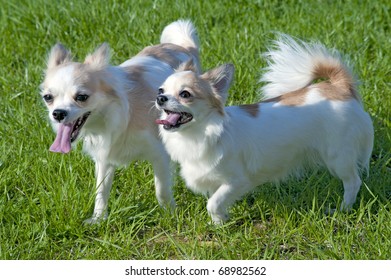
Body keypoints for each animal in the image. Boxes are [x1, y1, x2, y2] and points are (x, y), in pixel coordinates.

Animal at [41, 20, 201, 223]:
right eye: (48, 97)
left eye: (82, 97)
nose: (58, 113)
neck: (108, 119)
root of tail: (183, 47)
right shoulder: (103, 156)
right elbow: (101, 190)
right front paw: (99, 219)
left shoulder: (160, 153)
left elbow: (161, 188)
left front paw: (169, 215)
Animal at [155, 35, 374, 223]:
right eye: (161, 90)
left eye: (185, 94)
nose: (160, 98)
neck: (198, 134)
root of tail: (338, 87)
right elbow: (216, 200)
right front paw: (220, 222)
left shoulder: (238, 181)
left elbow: (213, 202)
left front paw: (219, 221)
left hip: (338, 156)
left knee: (353, 182)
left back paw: (343, 209)